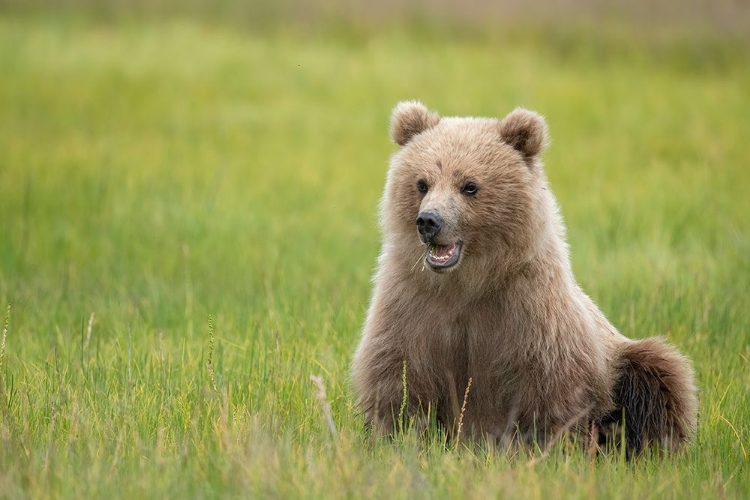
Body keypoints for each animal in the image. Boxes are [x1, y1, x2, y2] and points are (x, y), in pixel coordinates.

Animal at [352, 100, 700, 458]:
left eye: (469, 185)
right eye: (422, 182)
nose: (428, 221)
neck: (466, 283)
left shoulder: (529, 311)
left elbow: (548, 387)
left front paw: (542, 449)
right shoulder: (413, 304)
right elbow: (399, 375)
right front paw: (399, 438)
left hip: (622, 359)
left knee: (659, 375)